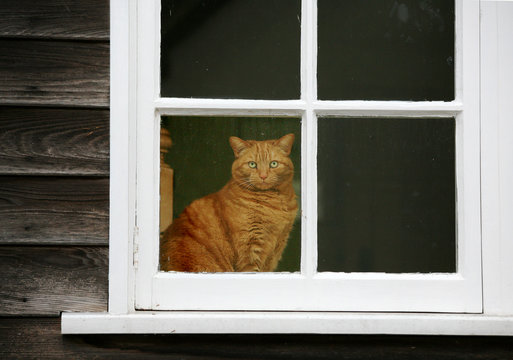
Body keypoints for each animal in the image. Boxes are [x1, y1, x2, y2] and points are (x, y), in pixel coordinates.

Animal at [159, 133, 296, 272]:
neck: (274, 204)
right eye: (252, 164)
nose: (263, 176)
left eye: (273, 164)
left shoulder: (277, 249)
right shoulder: (249, 249)